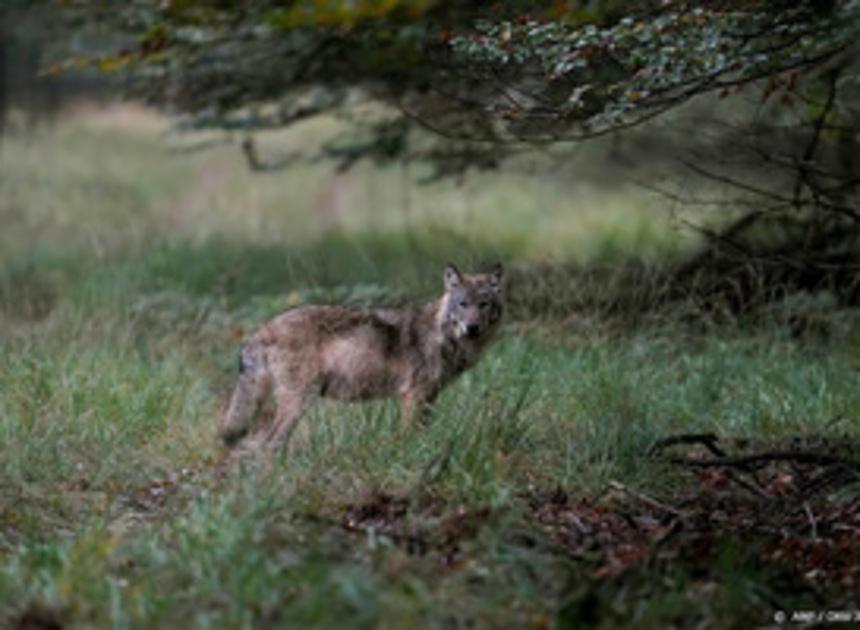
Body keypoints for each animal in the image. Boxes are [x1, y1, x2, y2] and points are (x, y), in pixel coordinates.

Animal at [219, 263, 504, 455]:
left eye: (484, 304)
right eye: (463, 304)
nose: (472, 328)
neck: (442, 335)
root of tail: (260, 330)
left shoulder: (429, 397)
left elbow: (423, 432)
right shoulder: (413, 395)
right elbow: (409, 436)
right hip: (298, 401)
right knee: (267, 443)